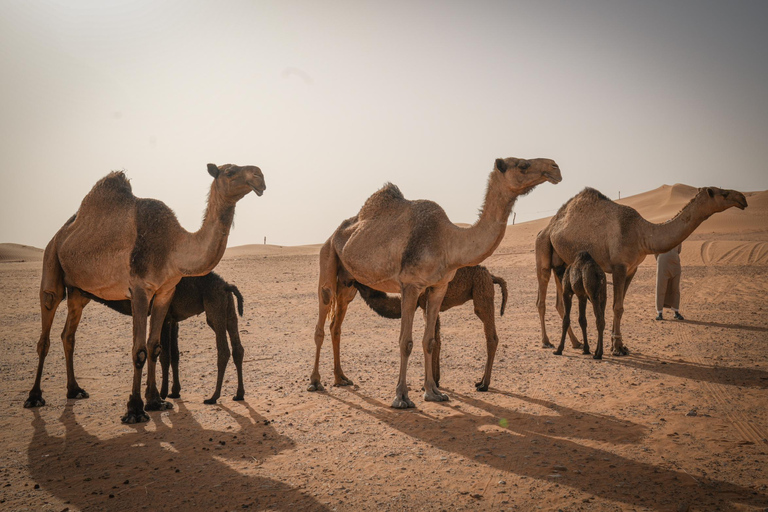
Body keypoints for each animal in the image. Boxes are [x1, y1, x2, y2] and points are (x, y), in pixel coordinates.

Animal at [92, 272, 246, 405]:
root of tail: (226, 286)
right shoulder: (173, 319)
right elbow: (174, 354)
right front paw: (174, 392)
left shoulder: (165, 316)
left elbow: (164, 355)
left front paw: (162, 393)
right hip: (229, 308)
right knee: (237, 348)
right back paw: (239, 394)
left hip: (215, 306)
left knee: (223, 351)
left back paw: (213, 397)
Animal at [355, 265, 508, 391]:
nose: (354, 281)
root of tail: (491, 275)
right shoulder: (427, 306)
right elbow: (436, 340)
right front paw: (436, 380)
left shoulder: (425, 301)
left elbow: (432, 339)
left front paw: (429, 384)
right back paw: (481, 381)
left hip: (482, 289)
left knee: (491, 335)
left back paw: (484, 385)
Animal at [536, 186, 747, 355]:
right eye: (724, 193)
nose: (743, 198)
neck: (641, 234)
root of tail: (549, 226)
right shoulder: (619, 266)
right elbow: (617, 307)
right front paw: (616, 348)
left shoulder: (632, 269)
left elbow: (621, 306)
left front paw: (620, 345)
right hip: (543, 249)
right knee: (541, 298)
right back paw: (547, 342)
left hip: (563, 263)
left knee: (559, 302)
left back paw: (576, 343)